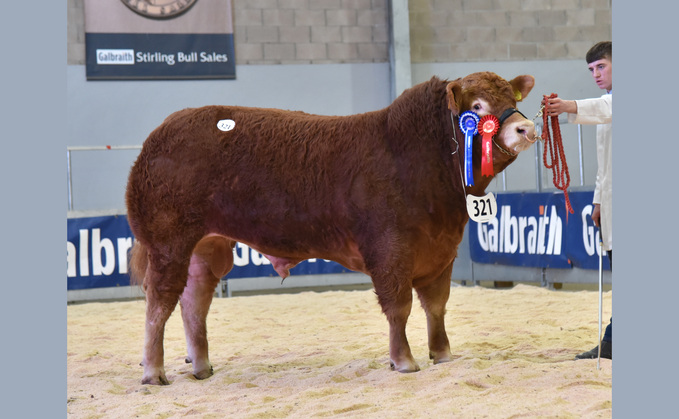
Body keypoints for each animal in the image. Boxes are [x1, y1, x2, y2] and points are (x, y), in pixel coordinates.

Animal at [126, 71, 536, 384]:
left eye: (511, 97)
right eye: (477, 107)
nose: (526, 126)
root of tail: (160, 135)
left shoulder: (441, 251)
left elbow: (436, 306)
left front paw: (443, 354)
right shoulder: (390, 249)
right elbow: (399, 306)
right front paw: (404, 361)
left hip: (207, 246)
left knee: (194, 301)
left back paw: (201, 366)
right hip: (168, 243)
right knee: (159, 304)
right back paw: (153, 372)